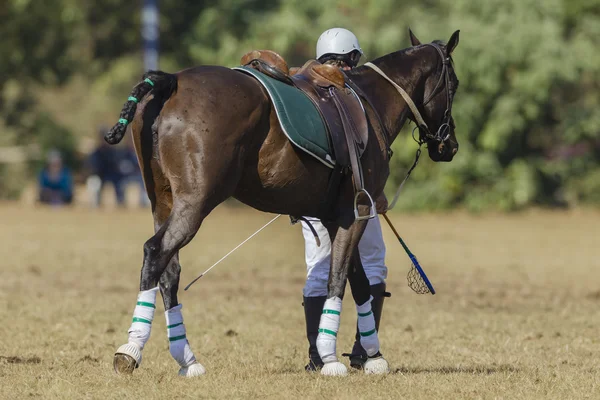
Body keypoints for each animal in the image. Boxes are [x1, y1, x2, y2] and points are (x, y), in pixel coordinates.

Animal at [106, 29, 460, 376]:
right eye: (454, 84)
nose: (450, 146)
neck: (370, 102)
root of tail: (171, 81)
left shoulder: (336, 217)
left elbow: (357, 281)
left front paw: (371, 355)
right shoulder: (358, 211)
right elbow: (338, 279)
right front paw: (332, 357)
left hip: (162, 201)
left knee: (170, 269)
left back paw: (187, 359)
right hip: (196, 201)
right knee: (155, 251)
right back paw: (131, 349)